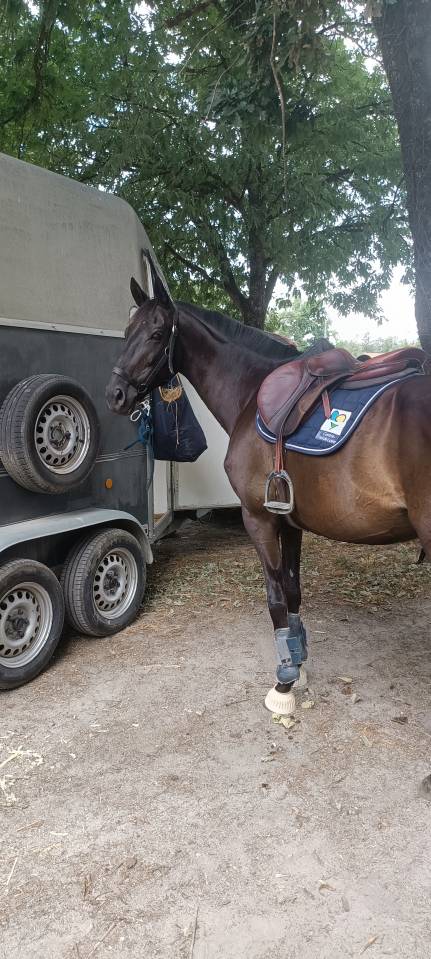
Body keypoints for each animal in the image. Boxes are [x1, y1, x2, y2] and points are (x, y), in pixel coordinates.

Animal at [106, 268, 431, 715]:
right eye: (126, 331)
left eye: (156, 334)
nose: (115, 395)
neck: (252, 393)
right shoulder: (289, 521)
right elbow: (292, 591)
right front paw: (300, 662)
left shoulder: (258, 518)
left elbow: (275, 594)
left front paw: (284, 683)